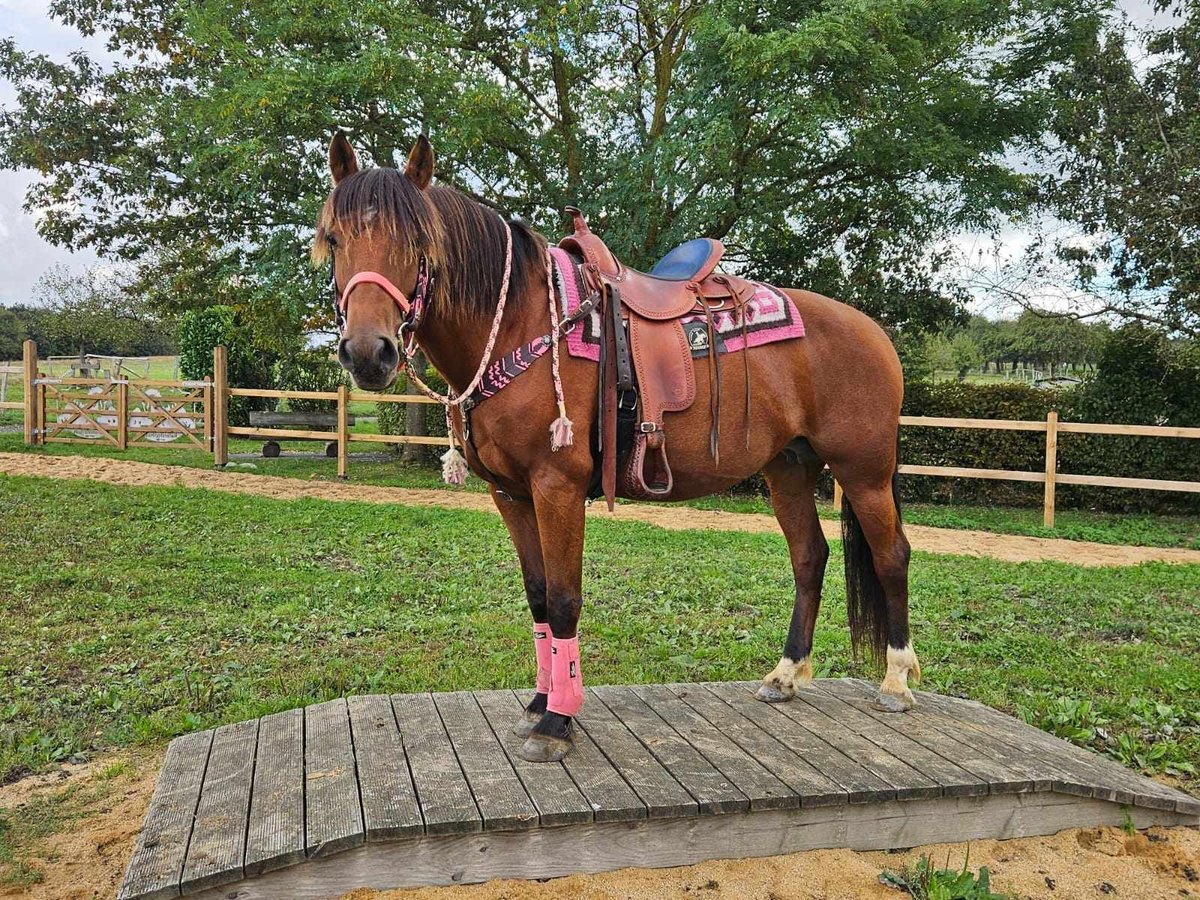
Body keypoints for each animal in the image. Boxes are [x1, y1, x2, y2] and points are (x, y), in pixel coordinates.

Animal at [319, 133, 916, 763]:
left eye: (417, 242)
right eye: (334, 239)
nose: (368, 352)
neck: (519, 324)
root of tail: (874, 332)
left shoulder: (556, 487)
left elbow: (563, 599)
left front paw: (557, 721)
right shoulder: (511, 494)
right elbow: (538, 597)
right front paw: (541, 700)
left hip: (864, 472)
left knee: (891, 556)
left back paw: (897, 681)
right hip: (789, 468)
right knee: (809, 557)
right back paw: (785, 674)